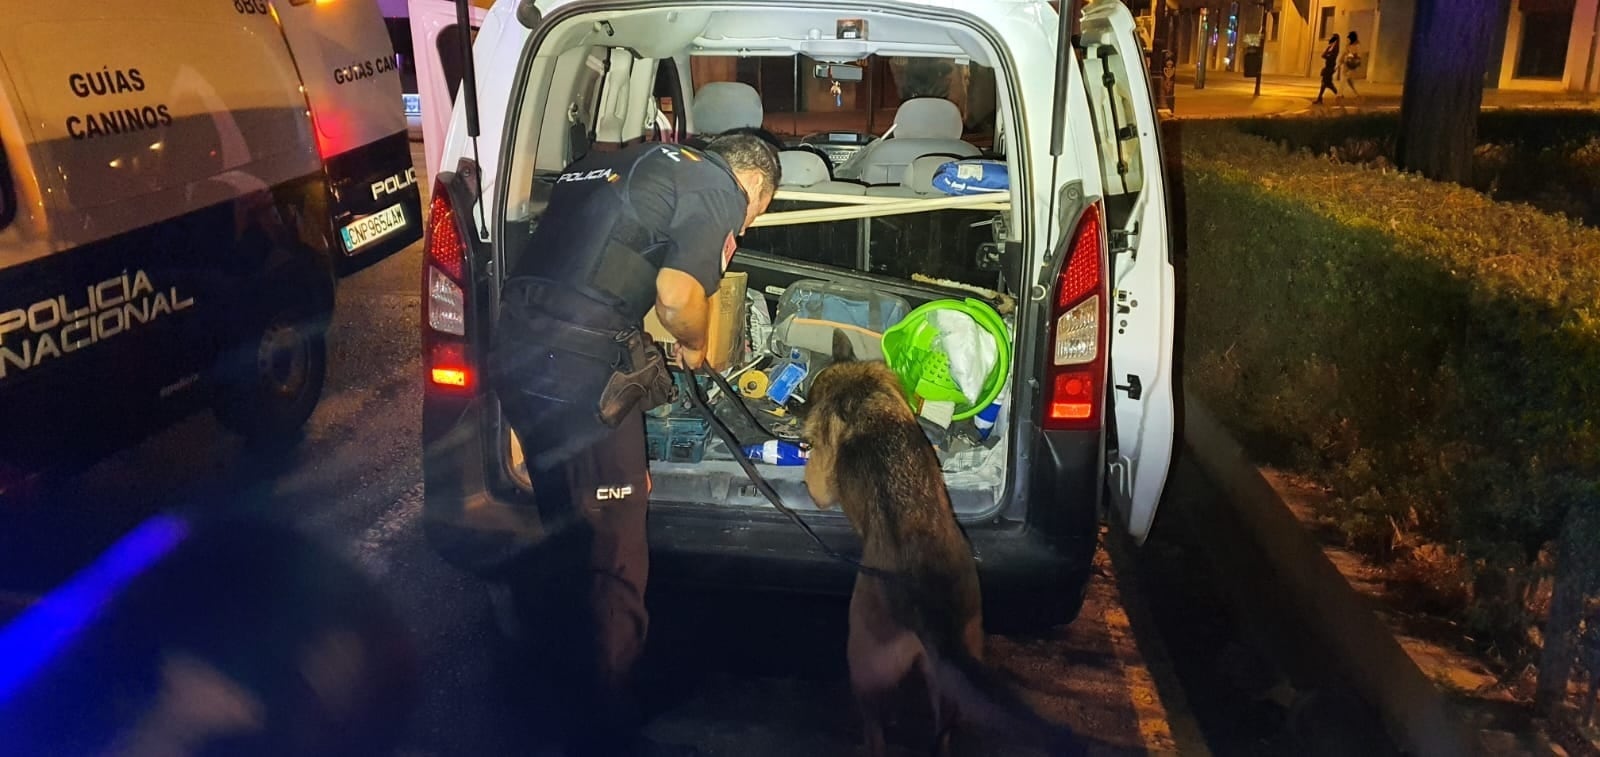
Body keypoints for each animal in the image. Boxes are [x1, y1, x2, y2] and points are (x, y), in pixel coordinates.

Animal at [800, 331, 1088, 755]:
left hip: (864, 656)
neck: (860, 389)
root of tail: (931, 607)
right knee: (944, 729)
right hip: (955, 662)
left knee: (875, 726)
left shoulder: (821, 477)